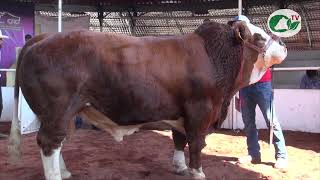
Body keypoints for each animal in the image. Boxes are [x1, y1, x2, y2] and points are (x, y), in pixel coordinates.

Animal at [8, 21, 284, 180]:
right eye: (258, 37)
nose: (282, 42)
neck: (212, 56)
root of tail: (44, 38)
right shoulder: (200, 109)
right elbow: (196, 142)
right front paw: (197, 172)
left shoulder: (180, 111)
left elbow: (179, 138)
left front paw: (180, 167)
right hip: (57, 110)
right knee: (49, 142)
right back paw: (55, 175)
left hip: (60, 113)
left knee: (58, 142)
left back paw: (64, 171)